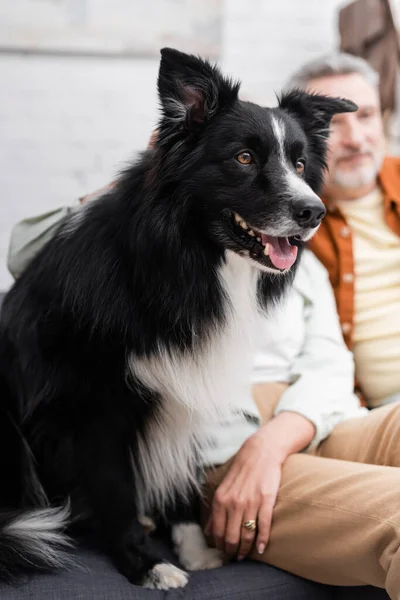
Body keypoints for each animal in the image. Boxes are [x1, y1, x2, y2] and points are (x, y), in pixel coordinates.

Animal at [0, 48, 356, 592]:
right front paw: (146, 564)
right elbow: (116, 490)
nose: (313, 212)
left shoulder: (188, 384)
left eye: (299, 163)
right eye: (244, 158)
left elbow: (182, 477)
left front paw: (193, 548)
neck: (185, 259)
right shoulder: (93, 406)